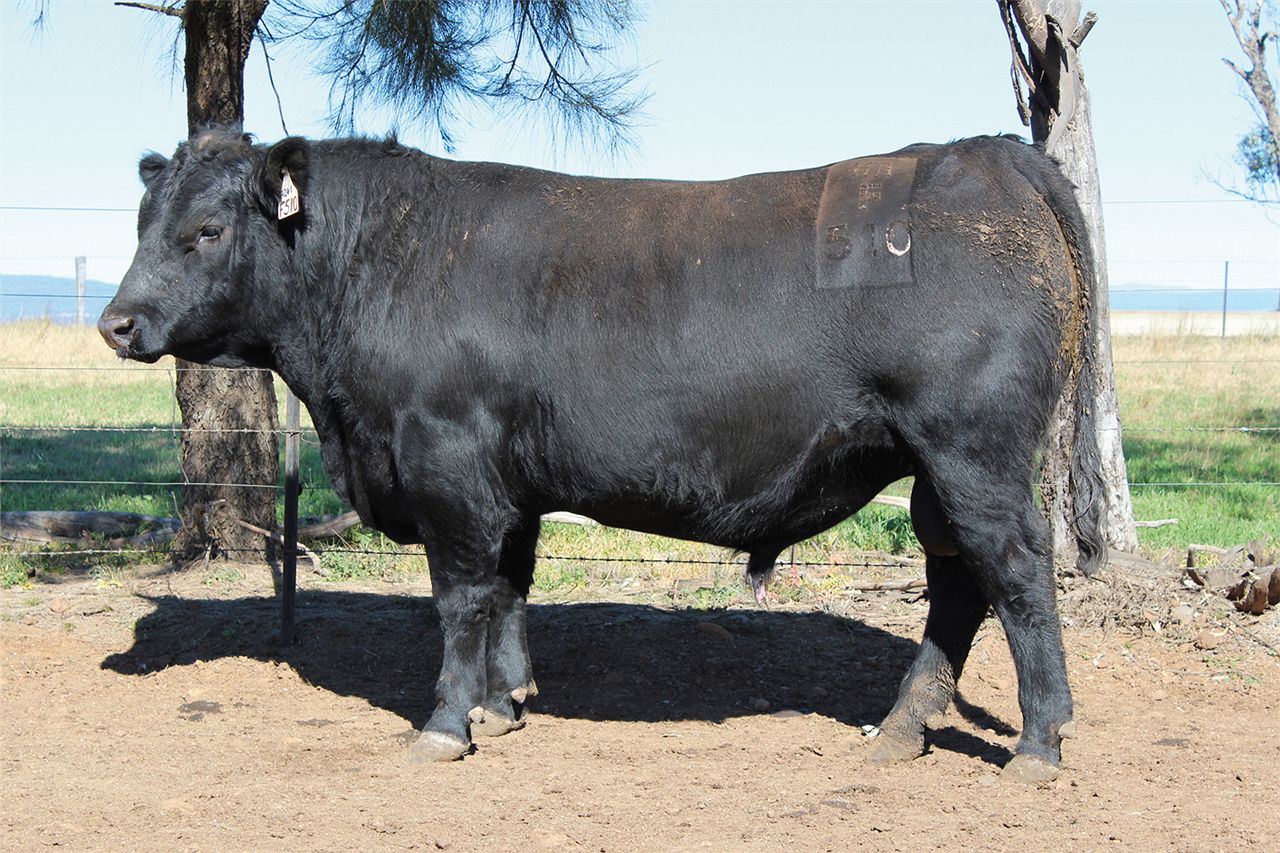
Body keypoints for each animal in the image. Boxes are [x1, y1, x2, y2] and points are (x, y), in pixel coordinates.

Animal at [100, 128, 1106, 782]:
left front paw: (444, 722)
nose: (117, 322)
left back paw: (1039, 743)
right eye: (143, 219)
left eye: (207, 230)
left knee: (1015, 571)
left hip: (972, 451)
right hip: (939, 466)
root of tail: (987, 150)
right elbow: (509, 587)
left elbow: (458, 597)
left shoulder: (444, 462)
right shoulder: (507, 484)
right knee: (958, 581)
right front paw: (502, 706)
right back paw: (902, 725)